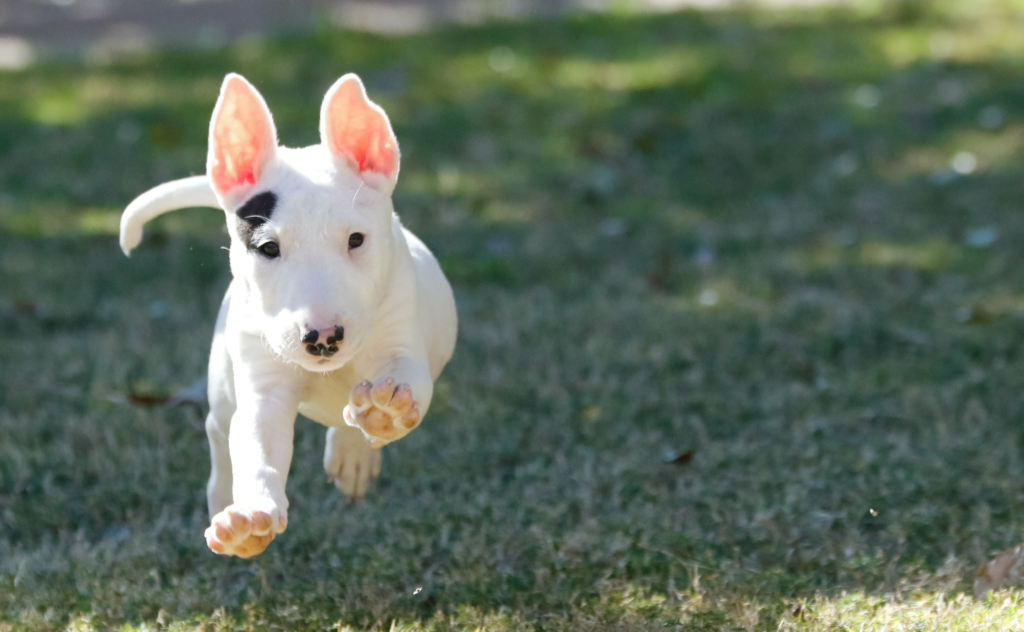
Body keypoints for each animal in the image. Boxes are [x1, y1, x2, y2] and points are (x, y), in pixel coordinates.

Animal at [117, 72, 458, 557]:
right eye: (267, 247)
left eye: (356, 239)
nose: (323, 337)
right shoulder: (265, 386)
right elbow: (257, 441)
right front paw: (250, 518)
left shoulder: (400, 336)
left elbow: (407, 379)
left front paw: (385, 411)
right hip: (224, 377)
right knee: (220, 428)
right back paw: (223, 495)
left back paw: (355, 450)